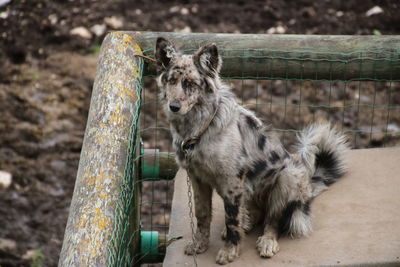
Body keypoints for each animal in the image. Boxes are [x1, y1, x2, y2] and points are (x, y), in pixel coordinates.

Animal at [155, 37, 348, 266]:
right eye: (171, 81)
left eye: (190, 83)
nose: (173, 106)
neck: (199, 129)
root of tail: (308, 187)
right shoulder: (198, 179)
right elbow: (202, 215)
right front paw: (199, 245)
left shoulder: (231, 182)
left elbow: (231, 220)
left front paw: (229, 251)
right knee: (252, 214)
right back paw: (246, 223)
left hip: (287, 177)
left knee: (272, 220)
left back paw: (267, 241)